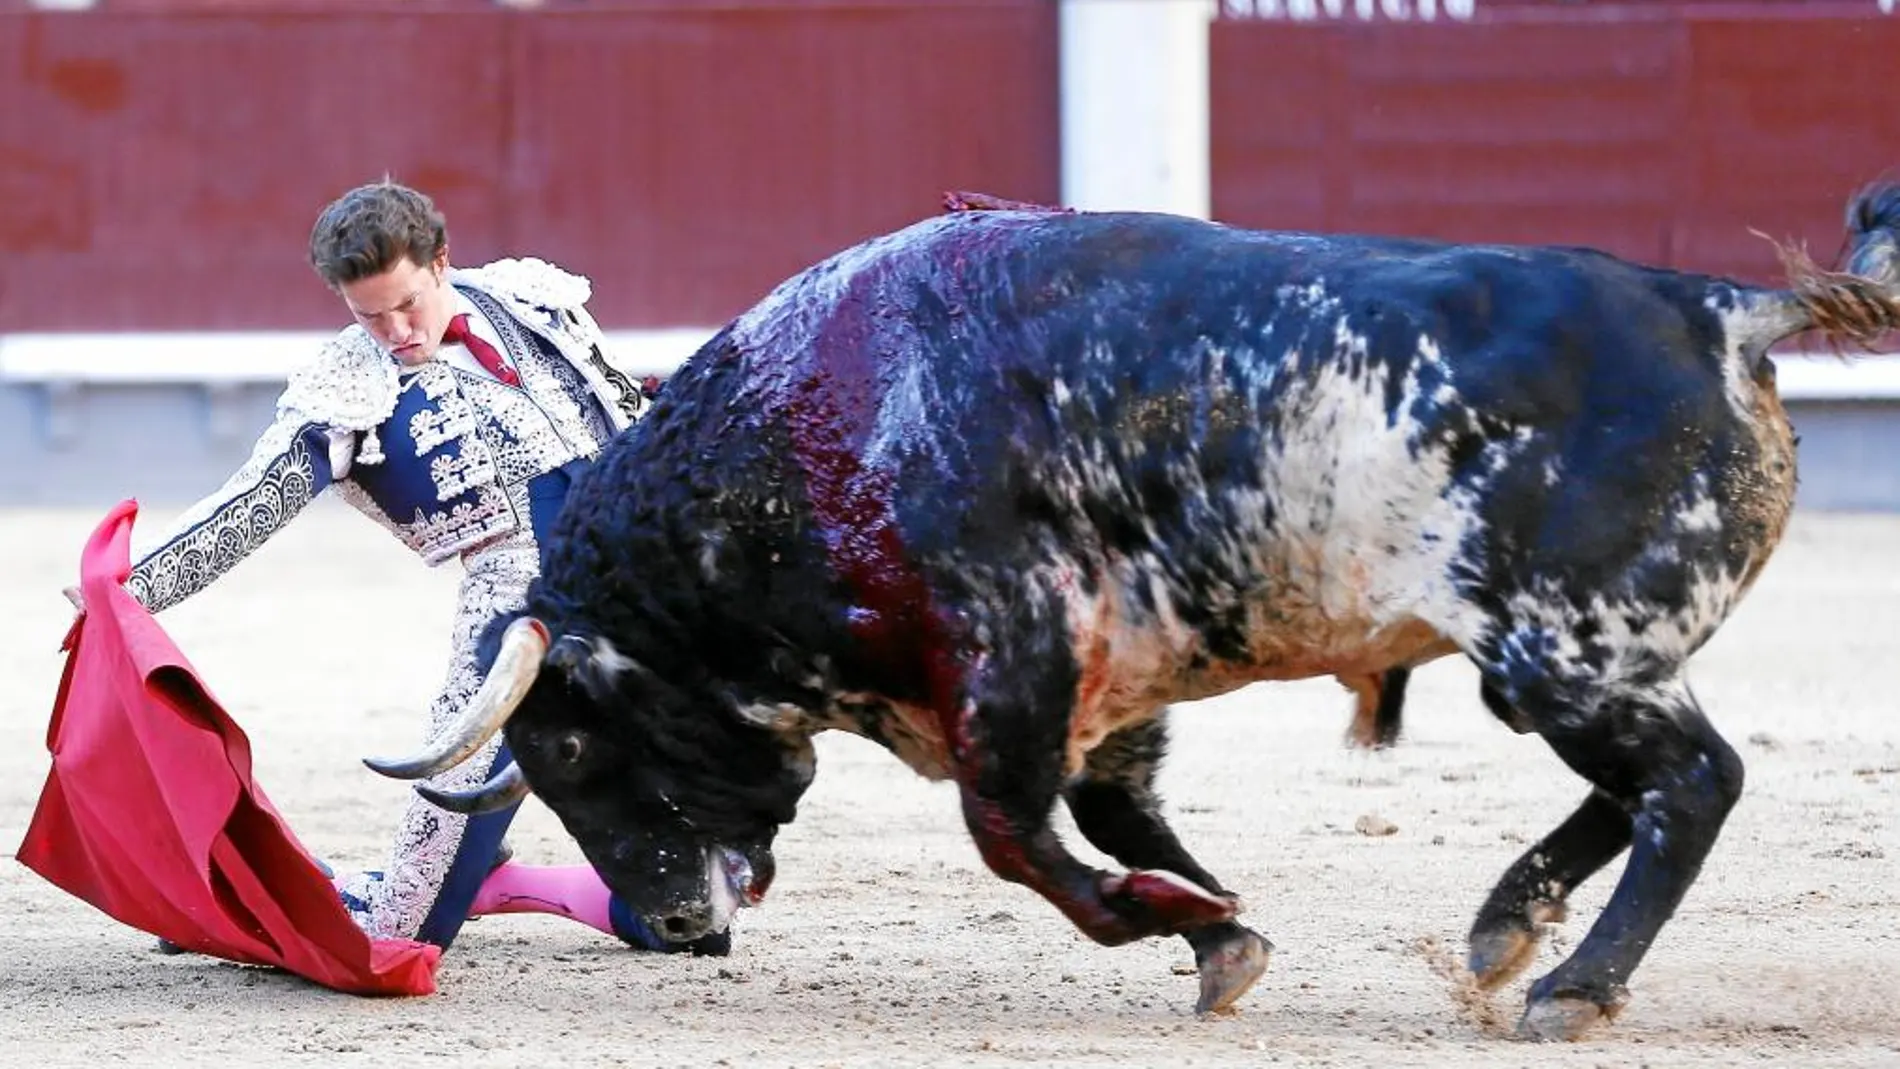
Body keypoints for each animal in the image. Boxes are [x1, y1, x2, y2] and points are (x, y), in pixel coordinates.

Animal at [366, 187, 1900, 1040]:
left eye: (571, 748)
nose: (680, 922)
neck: (801, 439)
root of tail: (1720, 311)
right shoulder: (1105, 682)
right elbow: (1113, 815)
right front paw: (1217, 930)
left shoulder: (1015, 652)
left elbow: (1016, 837)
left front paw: (1175, 922)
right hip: (1552, 661)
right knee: (1643, 783)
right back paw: (1502, 929)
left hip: (1562, 646)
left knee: (1692, 780)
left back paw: (1570, 985)